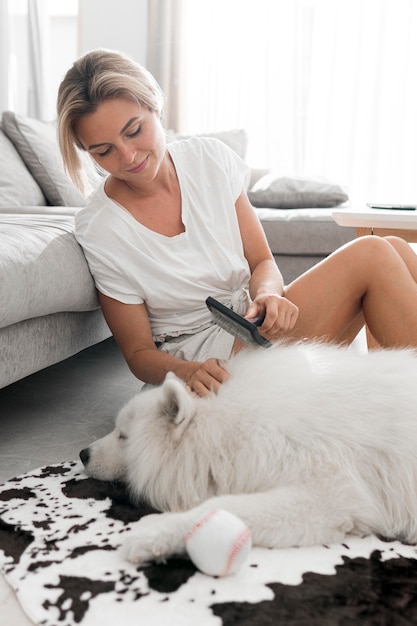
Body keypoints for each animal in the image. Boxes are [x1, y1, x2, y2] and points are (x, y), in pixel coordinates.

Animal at [79, 342, 417, 564]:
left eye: (123, 436)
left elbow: (222, 506)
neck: (232, 426)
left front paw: (150, 534)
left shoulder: (326, 495)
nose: (82, 453)